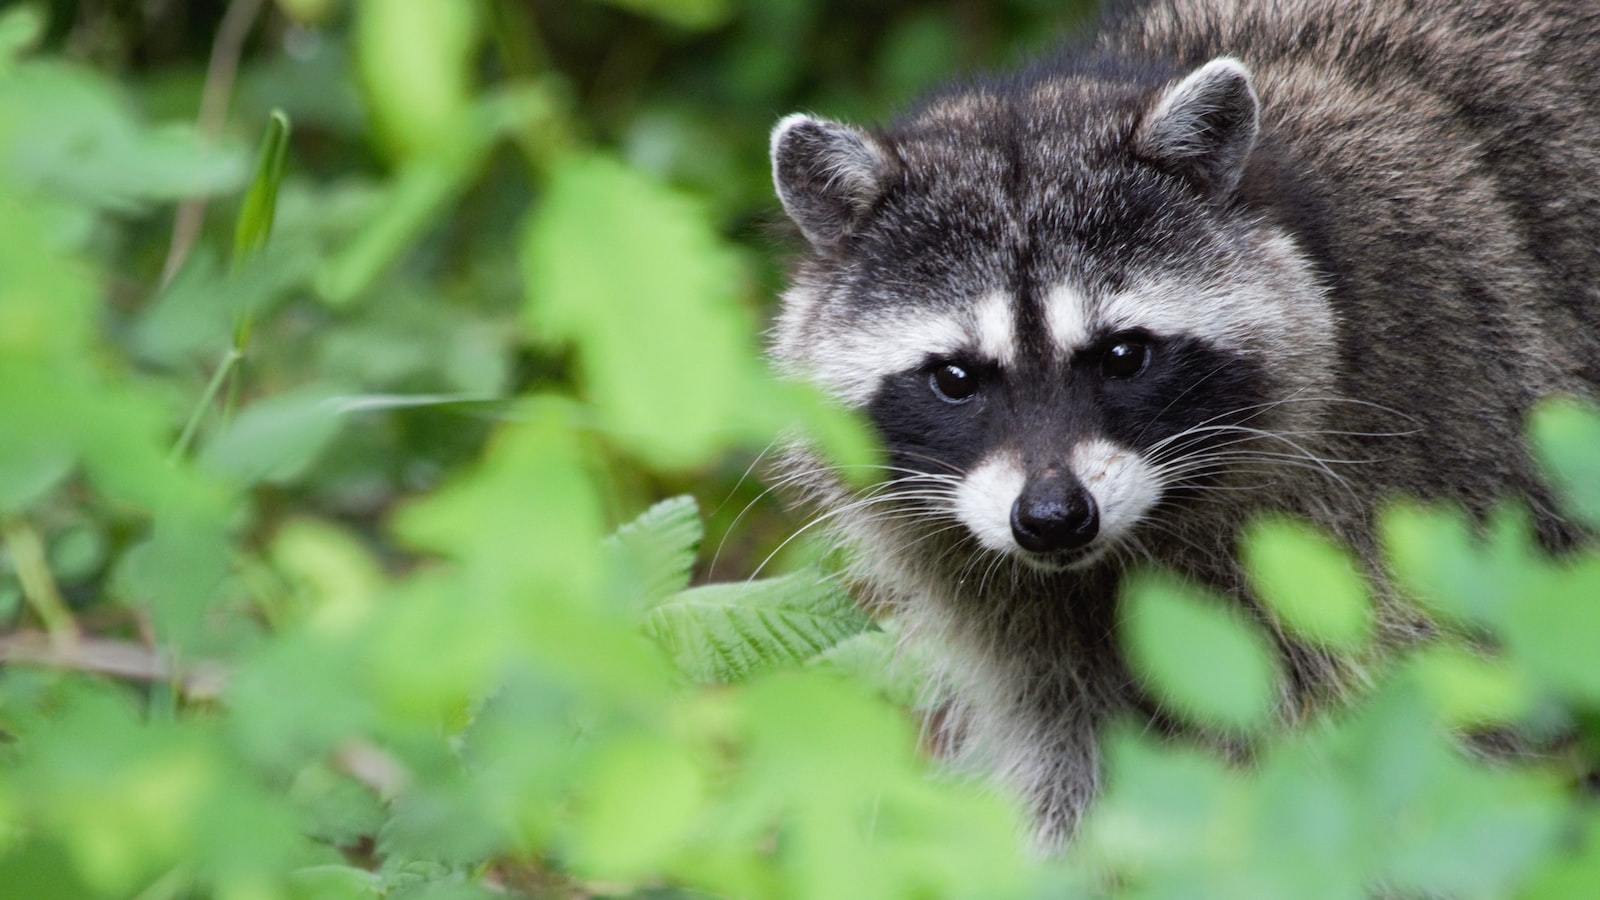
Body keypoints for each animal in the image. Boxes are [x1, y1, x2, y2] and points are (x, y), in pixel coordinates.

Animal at [761, 0, 1600, 839]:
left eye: (1123, 354)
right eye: (956, 378)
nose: (1053, 518)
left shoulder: (1424, 469)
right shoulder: (1020, 617)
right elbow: (1068, 756)